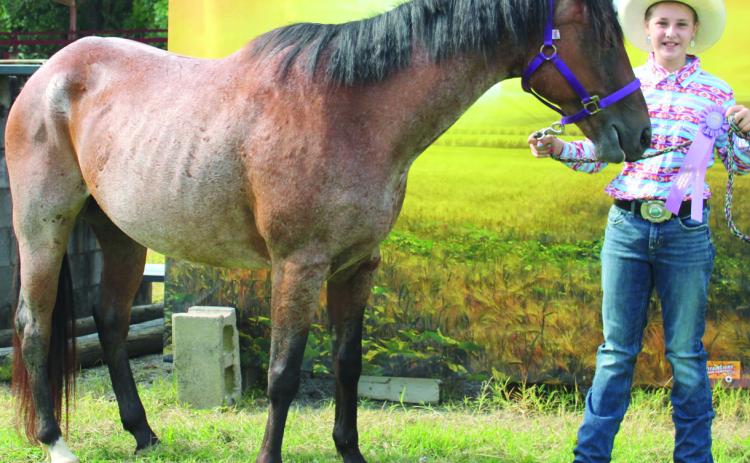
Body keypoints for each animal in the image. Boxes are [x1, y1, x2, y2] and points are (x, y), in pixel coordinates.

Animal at [6, 0, 650, 462]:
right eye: (599, 35)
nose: (640, 133)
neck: (352, 113)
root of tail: (49, 74)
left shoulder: (358, 266)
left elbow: (347, 363)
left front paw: (350, 450)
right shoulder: (299, 265)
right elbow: (284, 375)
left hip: (120, 234)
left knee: (111, 322)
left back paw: (143, 434)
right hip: (43, 229)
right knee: (35, 325)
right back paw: (55, 441)